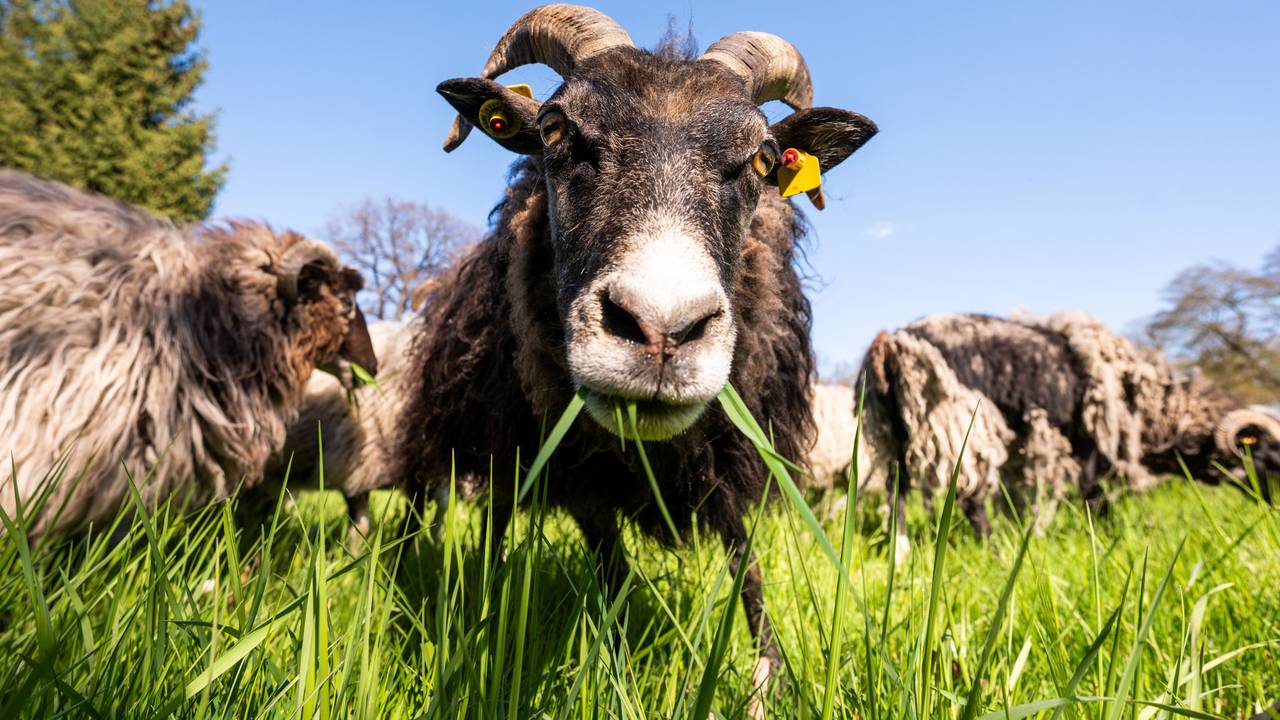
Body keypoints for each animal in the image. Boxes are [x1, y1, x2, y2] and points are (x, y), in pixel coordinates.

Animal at [399, 5, 877, 710]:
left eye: (765, 158)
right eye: (555, 128)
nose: (661, 332)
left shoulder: (731, 453)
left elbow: (747, 568)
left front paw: (769, 682)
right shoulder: (582, 476)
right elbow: (612, 570)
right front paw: (616, 666)